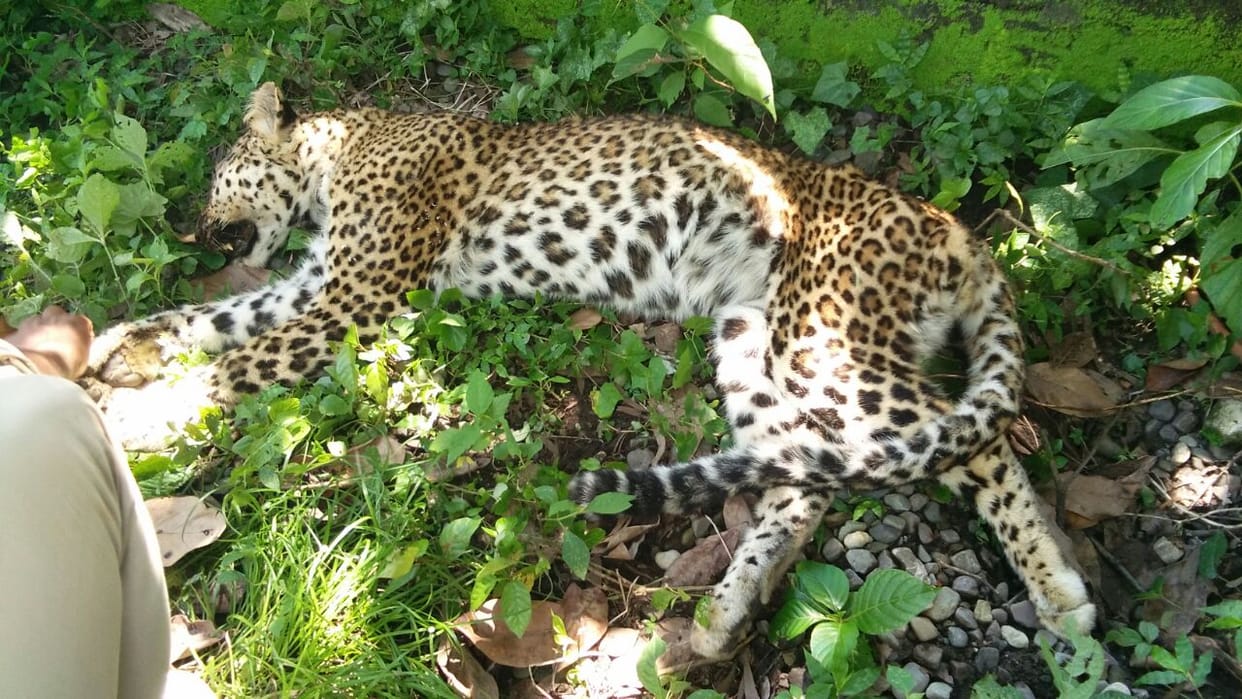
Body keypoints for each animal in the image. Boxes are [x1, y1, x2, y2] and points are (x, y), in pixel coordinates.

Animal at [88, 82, 1096, 660]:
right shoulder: (318, 282)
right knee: (806, 478)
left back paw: (1059, 595)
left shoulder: (356, 294)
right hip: (753, 342)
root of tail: (952, 226)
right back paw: (726, 611)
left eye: (221, 173)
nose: (191, 225)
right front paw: (112, 353)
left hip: (830, 341)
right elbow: (212, 320)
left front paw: (130, 419)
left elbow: (234, 362)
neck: (338, 154)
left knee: (976, 441)